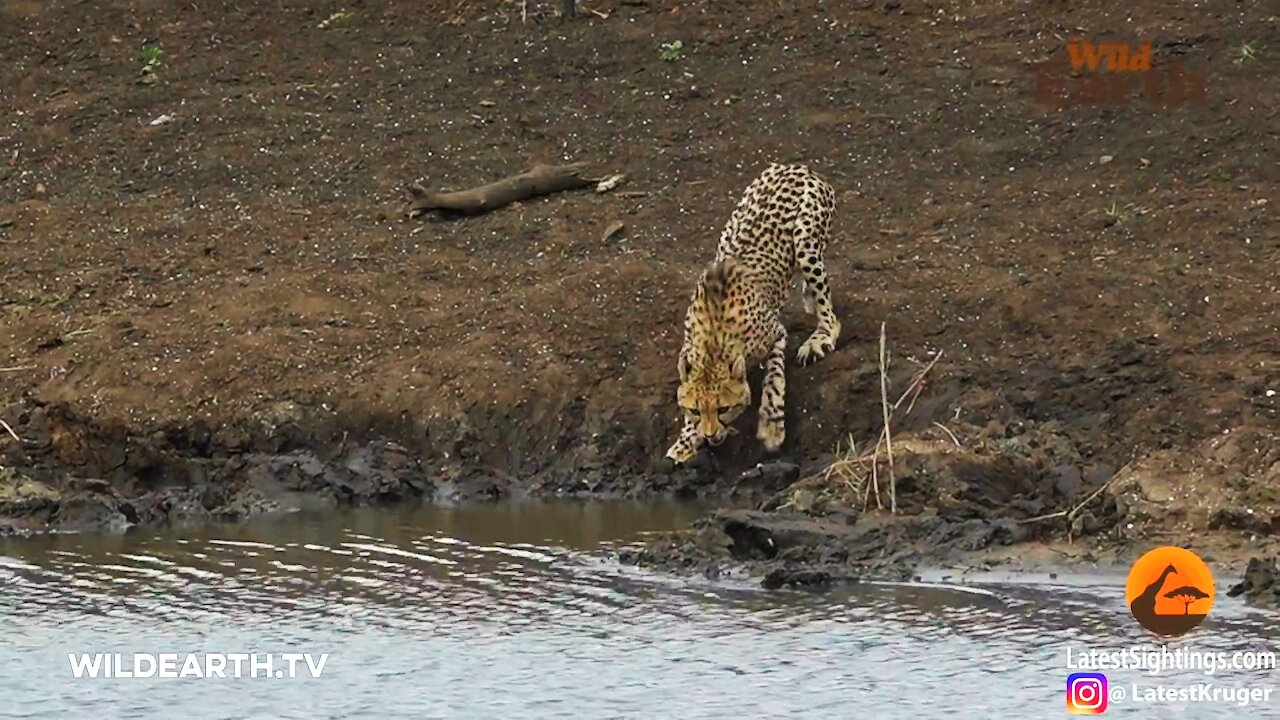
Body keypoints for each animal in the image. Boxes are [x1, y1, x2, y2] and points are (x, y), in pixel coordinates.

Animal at [670, 163, 839, 461]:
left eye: (724, 409)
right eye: (694, 410)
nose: (710, 435)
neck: (713, 342)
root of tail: (798, 166)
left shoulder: (776, 333)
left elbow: (774, 379)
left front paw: (771, 425)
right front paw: (686, 440)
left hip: (805, 241)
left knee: (830, 316)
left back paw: (821, 336)